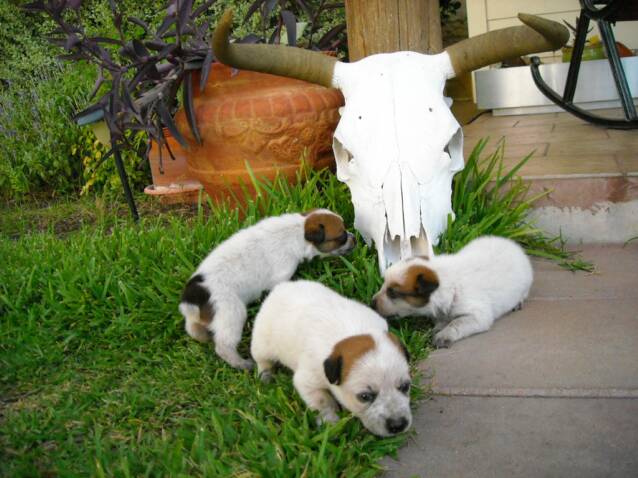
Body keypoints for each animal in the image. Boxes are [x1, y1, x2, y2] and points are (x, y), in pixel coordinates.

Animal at [180, 209, 358, 370]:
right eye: (341, 237)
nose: (355, 239)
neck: (298, 230)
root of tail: (193, 296)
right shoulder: (280, 277)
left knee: (193, 329)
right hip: (231, 312)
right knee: (224, 346)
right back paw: (242, 364)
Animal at [252, 280, 412, 436]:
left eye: (405, 386)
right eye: (364, 397)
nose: (398, 425)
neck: (353, 331)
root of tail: (278, 288)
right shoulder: (308, 381)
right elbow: (323, 401)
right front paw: (330, 422)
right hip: (261, 343)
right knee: (262, 360)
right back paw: (266, 375)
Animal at [372, 235, 532, 348]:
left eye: (392, 293)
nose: (371, 303)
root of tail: (514, 246)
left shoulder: (478, 316)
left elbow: (456, 323)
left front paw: (443, 335)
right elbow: (444, 320)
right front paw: (438, 327)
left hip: (526, 283)